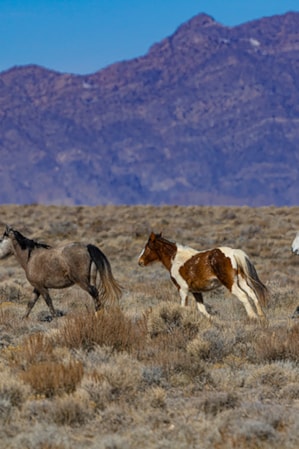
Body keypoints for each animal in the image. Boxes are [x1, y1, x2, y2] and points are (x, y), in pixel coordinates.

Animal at [139, 231, 270, 318]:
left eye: (148, 247)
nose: (140, 261)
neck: (175, 259)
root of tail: (233, 252)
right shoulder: (196, 291)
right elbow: (202, 309)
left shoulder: (182, 289)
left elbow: (183, 307)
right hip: (241, 281)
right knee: (252, 294)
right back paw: (261, 316)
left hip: (230, 283)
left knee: (243, 296)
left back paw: (253, 316)